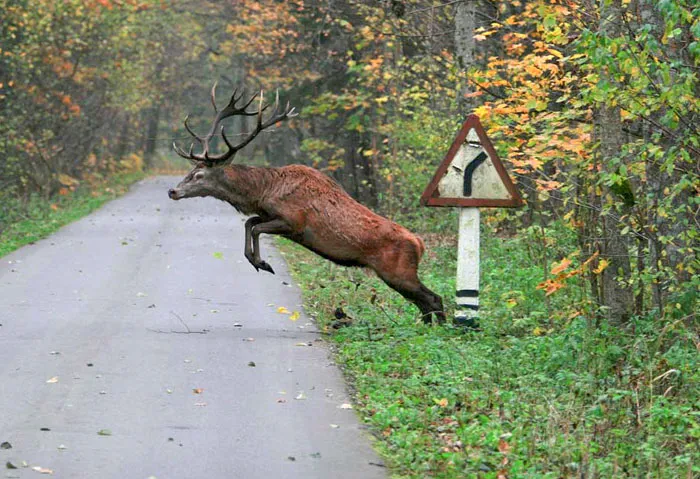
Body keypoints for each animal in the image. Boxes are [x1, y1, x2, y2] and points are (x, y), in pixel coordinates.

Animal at [167, 84, 446, 324]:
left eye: (199, 175)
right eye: (190, 170)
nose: (172, 191)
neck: (262, 192)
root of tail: (419, 244)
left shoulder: (294, 222)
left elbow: (255, 227)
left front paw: (263, 263)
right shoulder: (269, 215)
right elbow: (250, 223)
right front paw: (256, 260)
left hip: (398, 271)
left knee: (433, 298)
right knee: (424, 303)